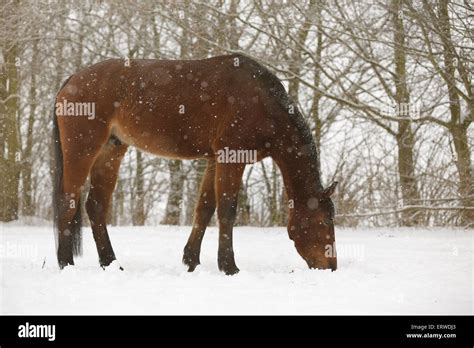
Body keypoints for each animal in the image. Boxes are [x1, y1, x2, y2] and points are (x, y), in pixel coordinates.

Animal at [52, 53, 336, 274]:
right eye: (323, 222)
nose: (331, 266)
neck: (260, 102)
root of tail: (71, 80)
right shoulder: (231, 157)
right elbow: (227, 210)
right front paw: (229, 267)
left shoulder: (214, 160)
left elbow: (205, 208)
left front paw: (191, 261)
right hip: (82, 150)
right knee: (68, 201)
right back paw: (66, 263)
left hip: (111, 151)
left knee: (96, 206)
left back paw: (110, 263)